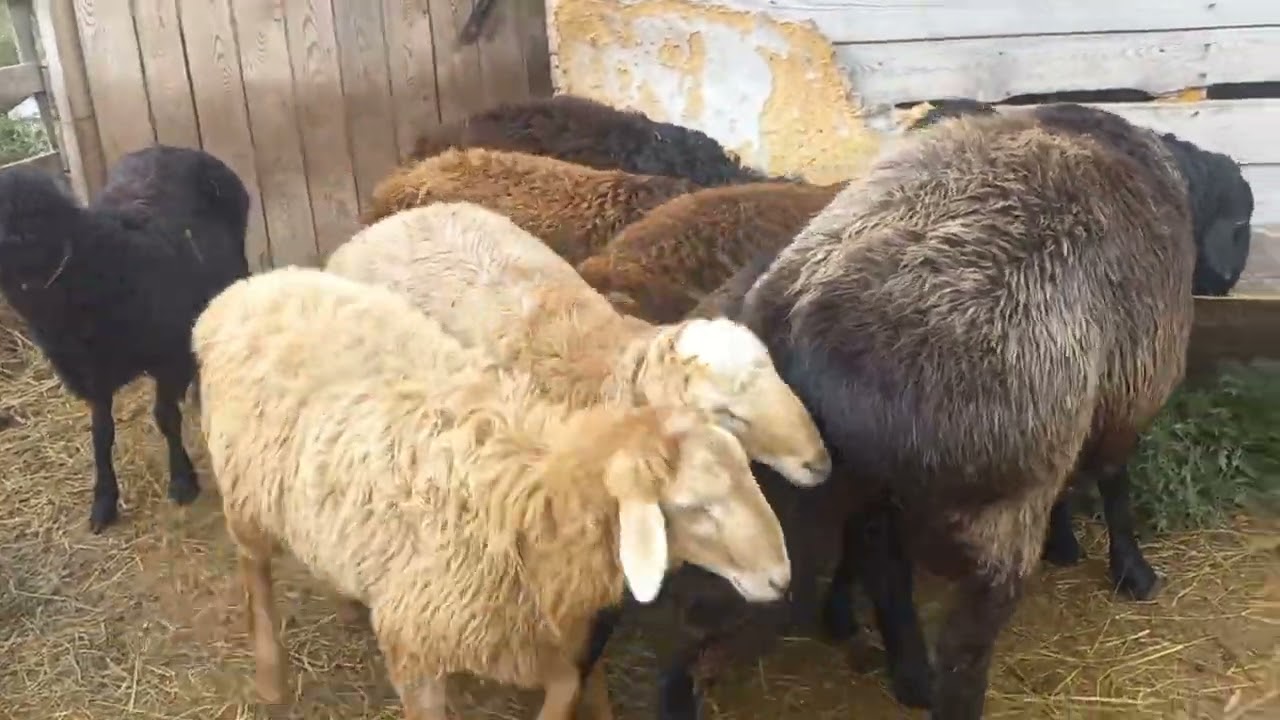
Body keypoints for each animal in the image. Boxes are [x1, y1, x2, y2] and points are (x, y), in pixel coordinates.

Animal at [0, 145, 250, 532]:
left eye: (35, 217)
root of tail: (171, 148)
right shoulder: (92, 376)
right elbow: (101, 435)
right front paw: (104, 501)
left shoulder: (168, 356)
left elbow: (165, 416)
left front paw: (182, 481)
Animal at [192, 265, 793, 720]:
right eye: (694, 507)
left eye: (747, 471)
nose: (782, 579)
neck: (534, 494)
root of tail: (243, 291)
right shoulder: (416, 641)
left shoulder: (532, 637)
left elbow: (567, 689)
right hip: (245, 500)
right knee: (255, 575)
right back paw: (270, 677)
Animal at [627, 107, 1196, 719]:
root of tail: (800, 312)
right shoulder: (1133, 389)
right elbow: (1115, 484)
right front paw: (1131, 570)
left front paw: (1067, 544)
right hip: (991, 512)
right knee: (960, 641)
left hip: (786, 500)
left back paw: (895, 666)